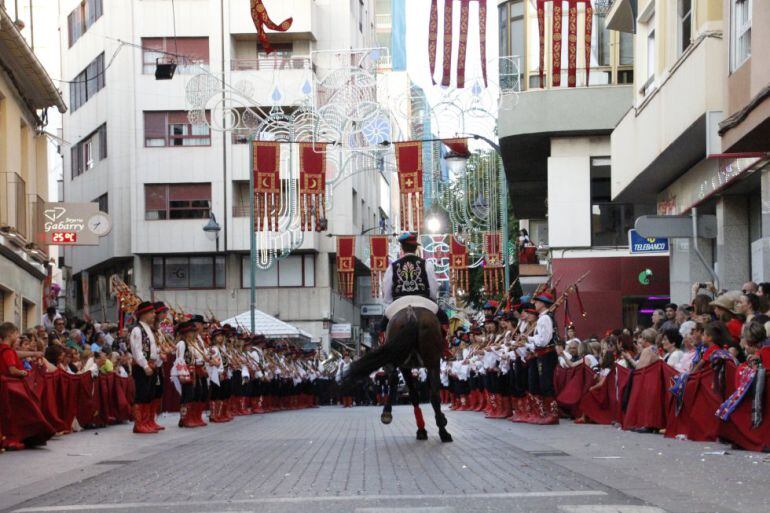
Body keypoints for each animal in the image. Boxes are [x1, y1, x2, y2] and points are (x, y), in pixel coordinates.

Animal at [340, 306, 450, 442]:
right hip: (429, 362)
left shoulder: (407, 367)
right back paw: (443, 431)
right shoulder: (411, 367)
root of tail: (411, 314)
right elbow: (415, 394)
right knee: (433, 394)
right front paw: (424, 428)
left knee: (394, 378)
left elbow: (413, 393)